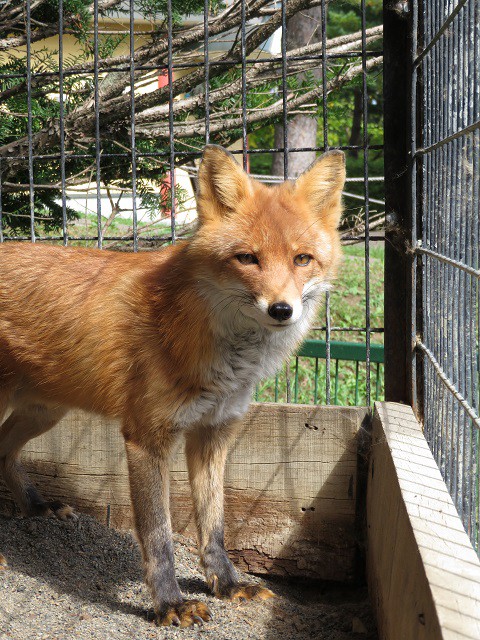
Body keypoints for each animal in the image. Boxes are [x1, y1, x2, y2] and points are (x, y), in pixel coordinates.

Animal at [0, 144, 344, 624]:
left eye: (302, 259)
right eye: (247, 258)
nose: (281, 310)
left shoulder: (214, 432)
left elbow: (213, 524)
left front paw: (228, 584)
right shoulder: (147, 436)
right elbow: (158, 534)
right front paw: (169, 603)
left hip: (45, 410)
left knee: (3, 449)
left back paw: (34, 507)